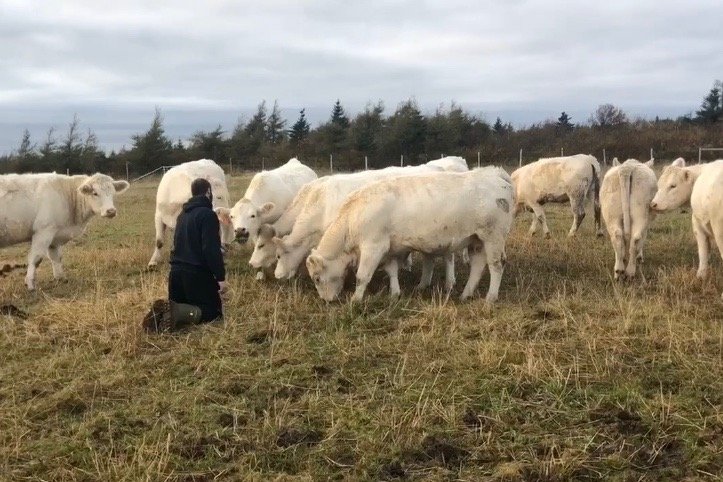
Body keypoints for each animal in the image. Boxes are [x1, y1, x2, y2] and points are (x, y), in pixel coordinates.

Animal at [0, 172, 129, 290]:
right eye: (95, 193)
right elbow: (35, 259)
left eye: (113, 193)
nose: (111, 211)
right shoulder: (43, 232)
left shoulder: (54, 236)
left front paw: (60, 278)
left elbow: (56, 257)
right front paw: (30, 284)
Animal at [305, 166, 514, 303]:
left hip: (493, 236)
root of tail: (495, 173)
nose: (326, 300)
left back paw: (490, 298)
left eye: (316, 278)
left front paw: (356, 300)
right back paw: (466, 294)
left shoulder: (373, 247)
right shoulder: (388, 249)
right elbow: (391, 270)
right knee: (478, 265)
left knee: (496, 264)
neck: (352, 217)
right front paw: (395, 293)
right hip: (477, 240)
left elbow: (362, 276)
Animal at [650, 158, 723, 297]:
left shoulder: (697, 224)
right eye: (659, 185)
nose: (653, 204)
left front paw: (701, 275)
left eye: (673, 186)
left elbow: (703, 251)